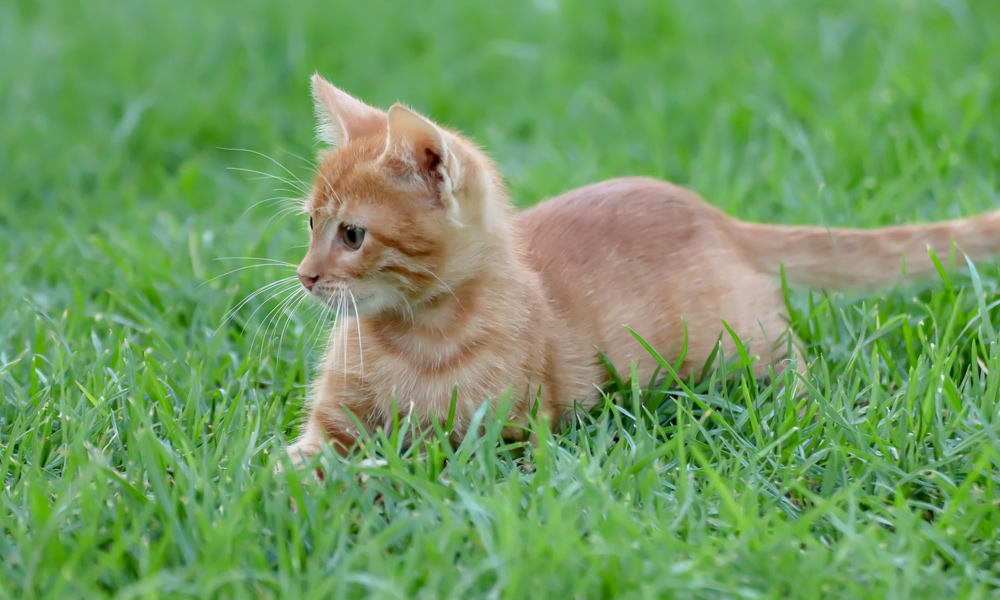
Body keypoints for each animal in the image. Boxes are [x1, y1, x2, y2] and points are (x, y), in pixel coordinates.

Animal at [286, 72, 1000, 462]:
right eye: (310, 224)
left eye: (352, 234)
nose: (305, 276)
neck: (418, 339)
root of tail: (710, 213)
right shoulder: (332, 426)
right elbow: (301, 460)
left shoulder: (506, 438)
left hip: (745, 344)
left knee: (793, 362)